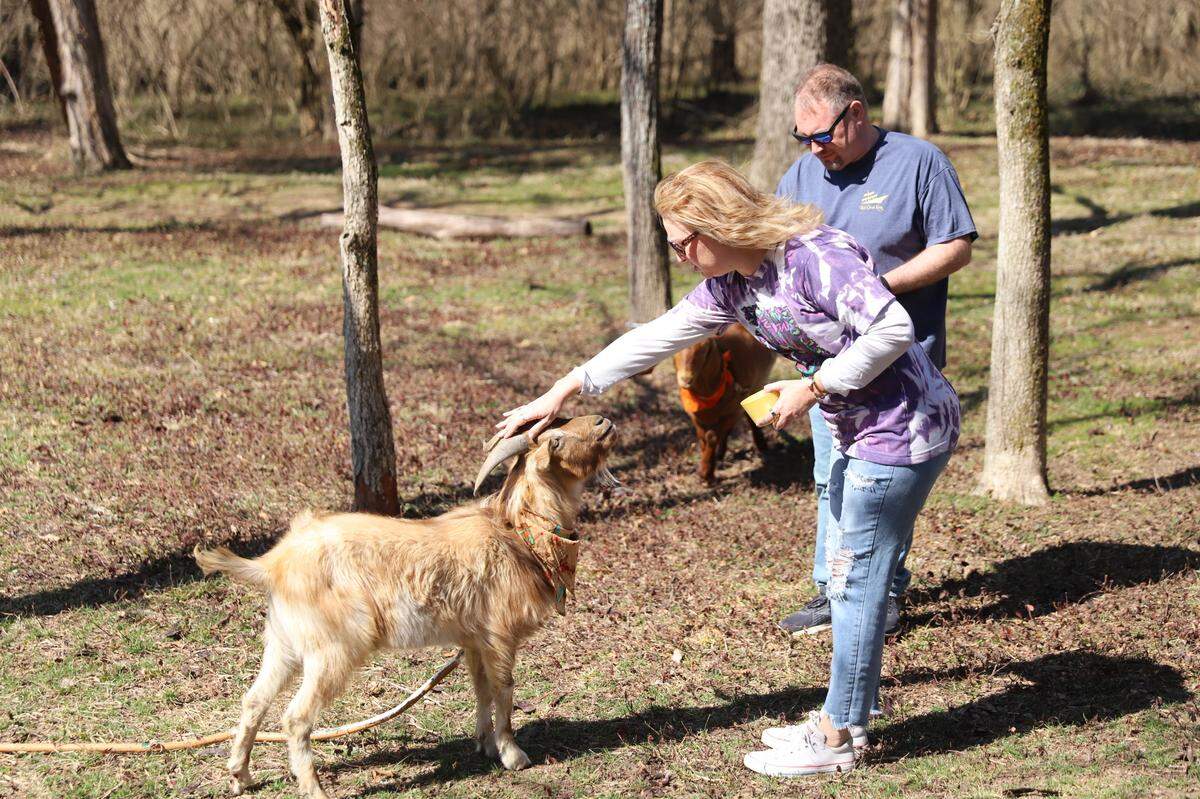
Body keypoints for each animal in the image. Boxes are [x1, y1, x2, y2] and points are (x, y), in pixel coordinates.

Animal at [194, 415, 616, 799]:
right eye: (556, 438)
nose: (603, 422)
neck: (516, 532)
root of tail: (273, 563)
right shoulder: (499, 635)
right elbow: (504, 690)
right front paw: (514, 755)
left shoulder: (474, 638)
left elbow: (481, 688)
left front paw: (486, 745)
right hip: (333, 649)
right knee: (295, 717)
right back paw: (313, 790)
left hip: (284, 643)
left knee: (254, 700)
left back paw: (241, 777)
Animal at [673, 324, 775, 483]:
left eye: (704, 349)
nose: (686, 379)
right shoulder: (695, 417)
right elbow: (703, 438)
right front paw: (706, 464)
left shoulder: (733, 411)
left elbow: (712, 437)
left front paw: (706, 473)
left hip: (758, 384)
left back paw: (760, 444)